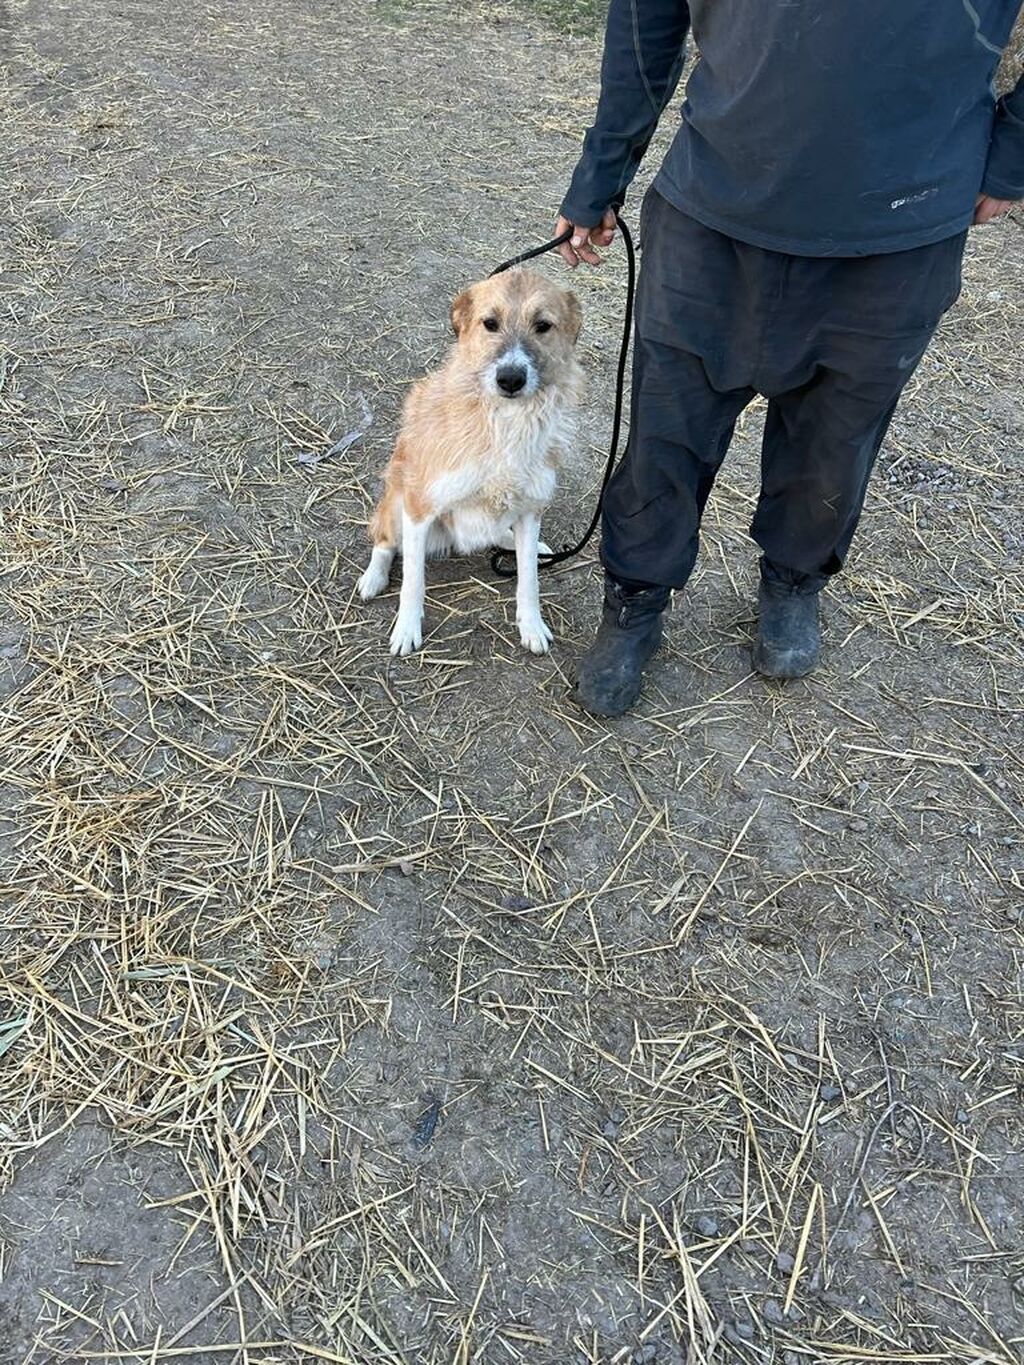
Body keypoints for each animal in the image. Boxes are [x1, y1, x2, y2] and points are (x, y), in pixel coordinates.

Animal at [357, 267, 584, 655]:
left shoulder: (531, 508)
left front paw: (532, 625)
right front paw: (406, 628)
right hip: (396, 499)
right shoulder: (419, 506)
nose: (510, 379)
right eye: (490, 323)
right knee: (385, 542)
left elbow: (529, 579)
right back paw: (373, 577)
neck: (503, 422)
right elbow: (413, 580)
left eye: (543, 325)